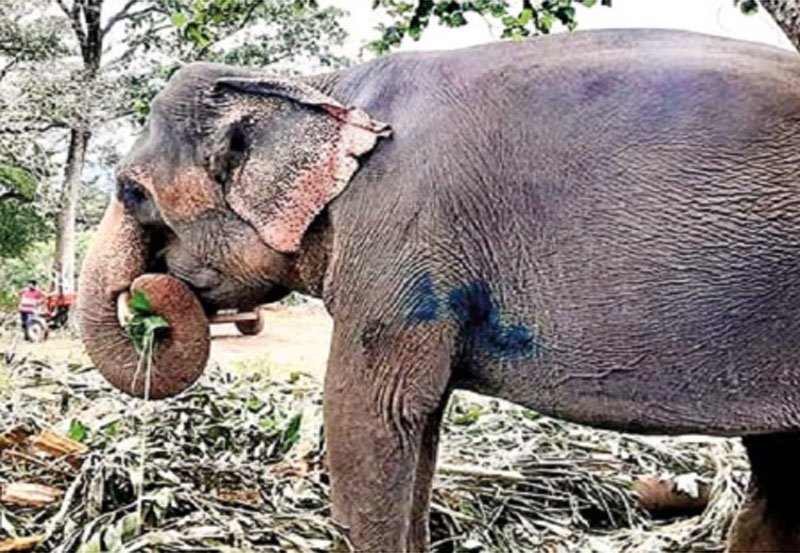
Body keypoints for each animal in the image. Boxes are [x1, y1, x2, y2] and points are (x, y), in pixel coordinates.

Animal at [78, 28, 800, 551]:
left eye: (130, 191)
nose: (150, 297)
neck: (323, 89)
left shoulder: (400, 236)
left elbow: (368, 413)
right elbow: (418, 423)